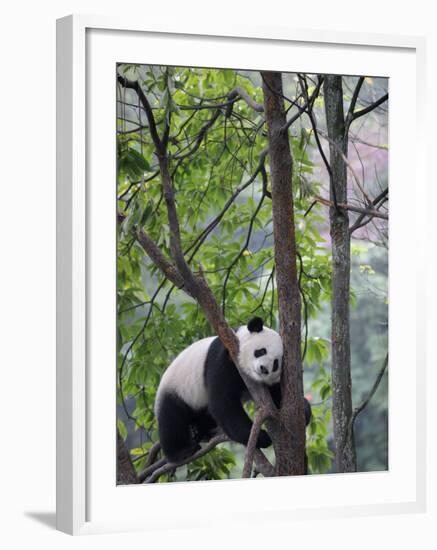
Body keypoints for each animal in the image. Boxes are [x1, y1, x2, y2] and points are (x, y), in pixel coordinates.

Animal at [154, 320, 310, 466]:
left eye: (276, 363)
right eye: (261, 351)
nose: (264, 369)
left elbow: (277, 398)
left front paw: (304, 411)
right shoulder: (224, 358)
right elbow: (223, 404)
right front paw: (262, 437)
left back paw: (204, 431)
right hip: (177, 388)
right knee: (172, 418)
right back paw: (182, 452)